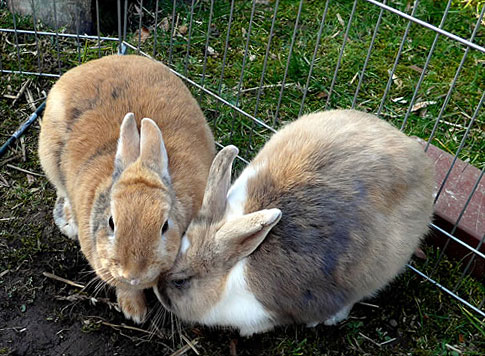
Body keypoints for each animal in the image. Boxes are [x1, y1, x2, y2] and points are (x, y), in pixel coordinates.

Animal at [38, 54, 216, 324]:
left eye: (165, 226)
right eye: (111, 222)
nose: (133, 274)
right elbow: (122, 287)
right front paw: (135, 313)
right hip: (49, 157)